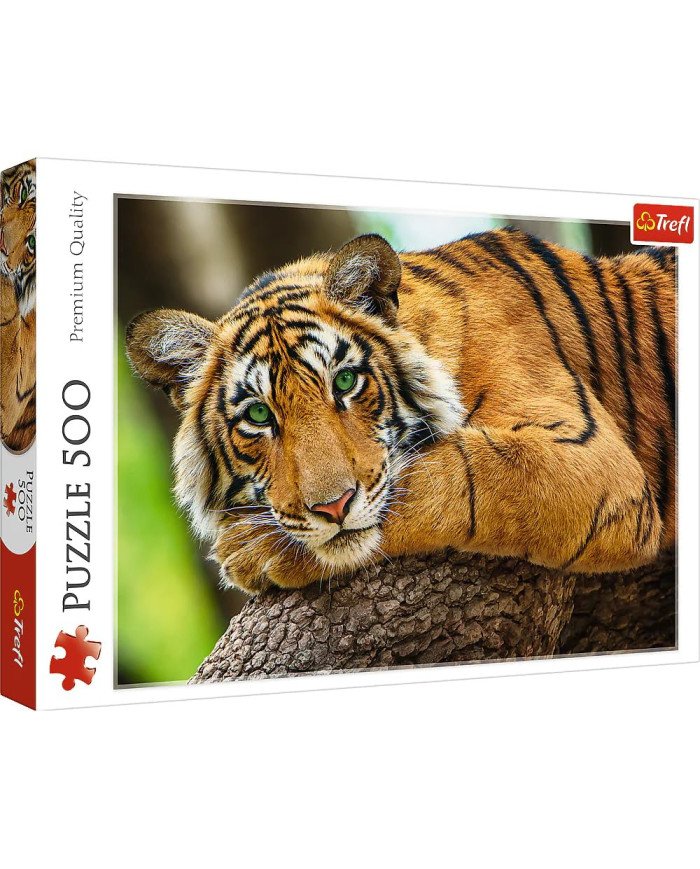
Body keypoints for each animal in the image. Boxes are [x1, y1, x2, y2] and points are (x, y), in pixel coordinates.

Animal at [126, 228, 676, 595]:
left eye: (345, 382)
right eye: (259, 416)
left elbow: (452, 475)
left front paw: (250, 550)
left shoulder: (590, 459)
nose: (332, 508)